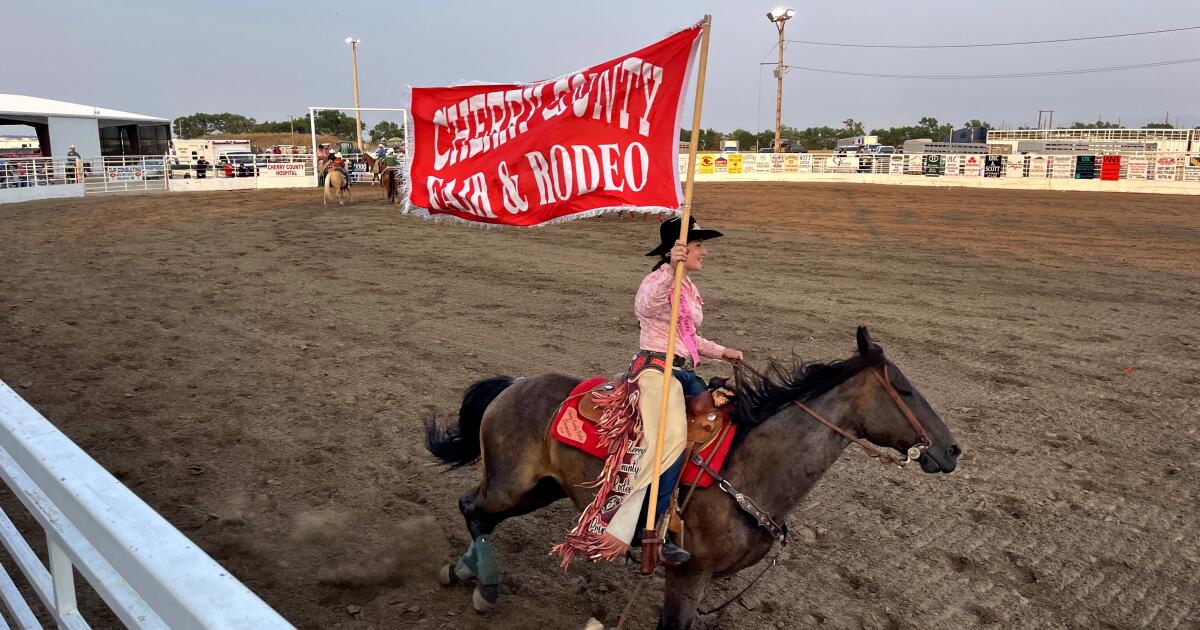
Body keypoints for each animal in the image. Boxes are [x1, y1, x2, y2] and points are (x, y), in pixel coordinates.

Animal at [427, 326, 960, 624]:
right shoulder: (688, 574)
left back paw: (464, 572)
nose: (952, 449)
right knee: (472, 508)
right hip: (511, 485)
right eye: (905, 391)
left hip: (540, 490)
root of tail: (514, 383)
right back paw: (483, 586)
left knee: (477, 512)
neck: (751, 468)